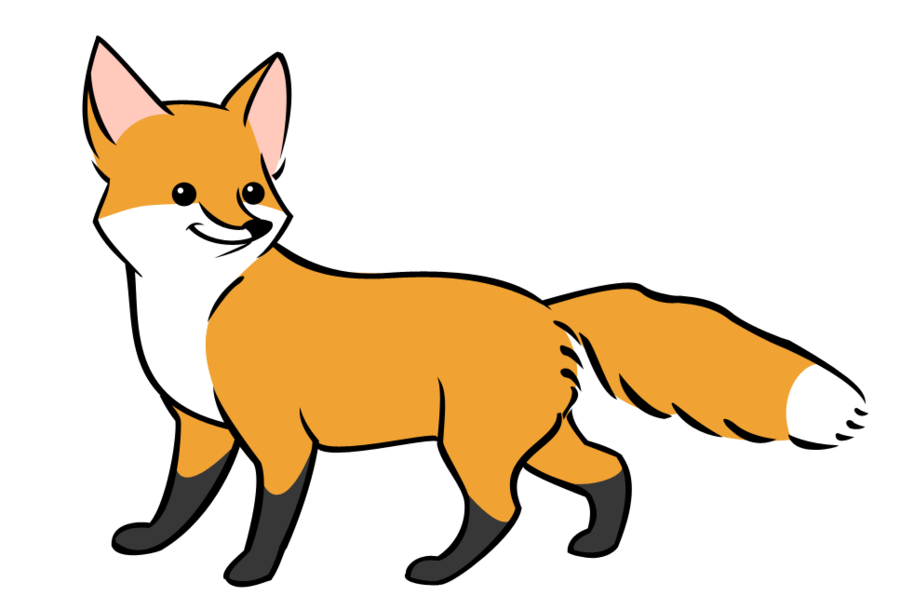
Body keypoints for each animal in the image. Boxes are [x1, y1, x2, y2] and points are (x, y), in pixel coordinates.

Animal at [87, 42, 866, 582]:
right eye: (184, 192)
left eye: (253, 190)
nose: (248, 227)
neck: (193, 309)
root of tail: (548, 310)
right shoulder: (200, 428)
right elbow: (180, 499)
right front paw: (153, 542)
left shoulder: (278, 438)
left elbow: (270, 515)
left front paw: (251, 571)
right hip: (536, 438)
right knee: (607, 469)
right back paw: (596, 546)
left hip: (475, 443)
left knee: (503, 508)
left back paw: (441, 570)